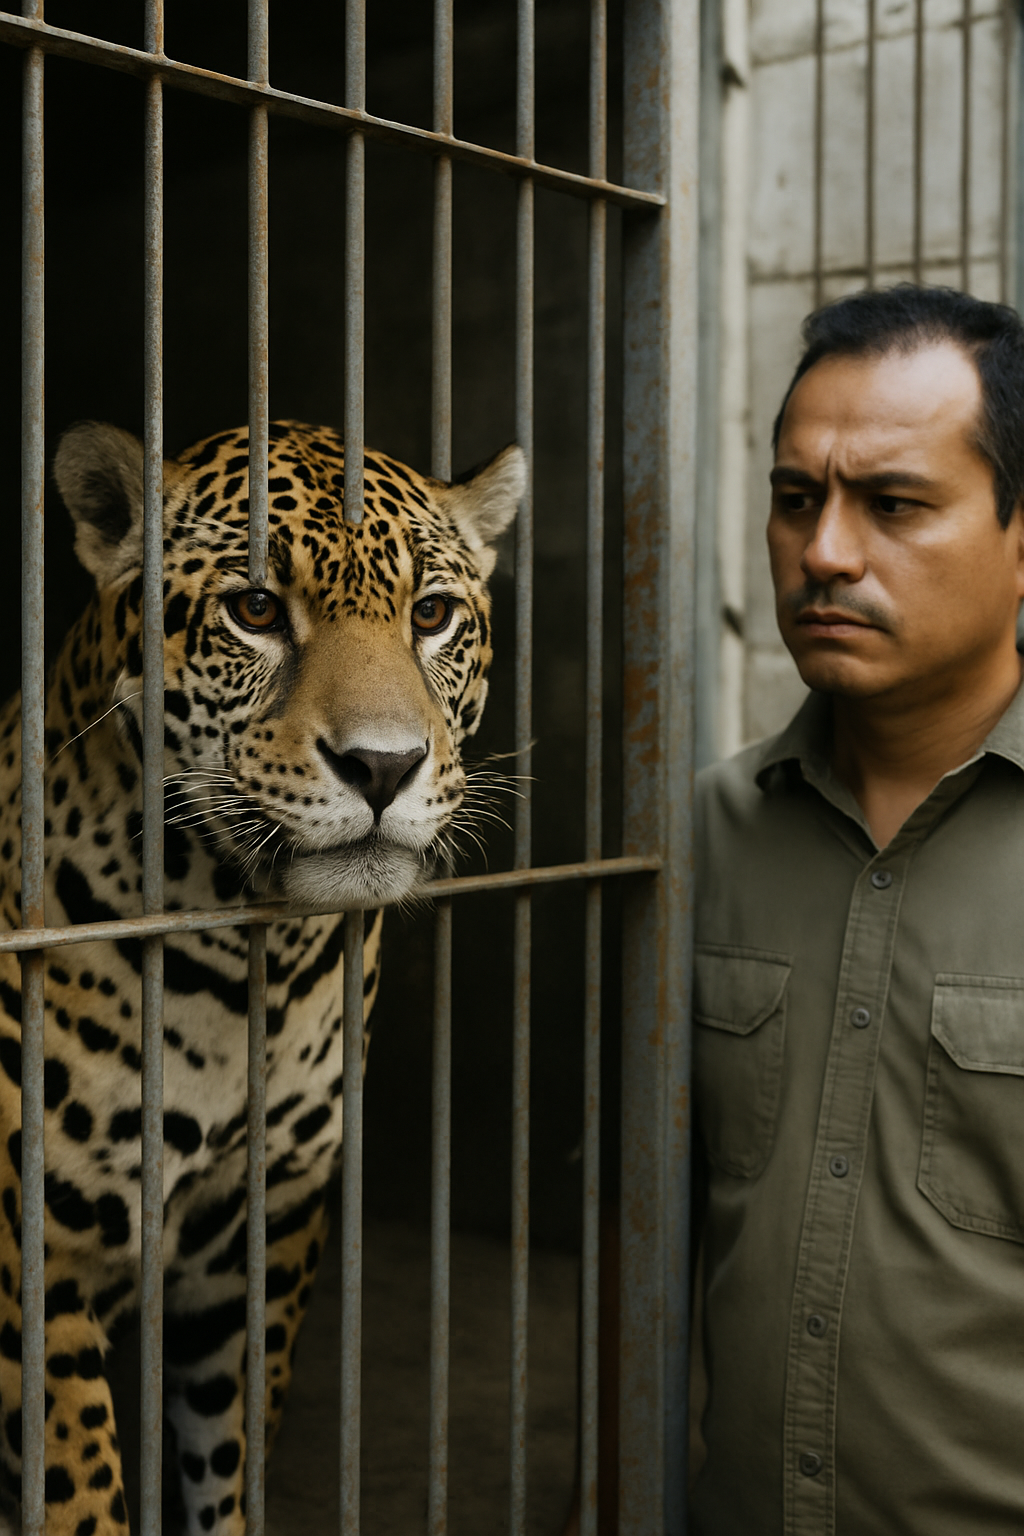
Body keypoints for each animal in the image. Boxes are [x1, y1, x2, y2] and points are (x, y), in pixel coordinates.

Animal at [0, 417, 524, 1535]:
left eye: (431, 615)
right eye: (254, 611)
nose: (384, 767)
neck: (250, 972)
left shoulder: (264, 1228)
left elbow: (227, 1455)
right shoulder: (30, 1254)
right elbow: (79, 1489)